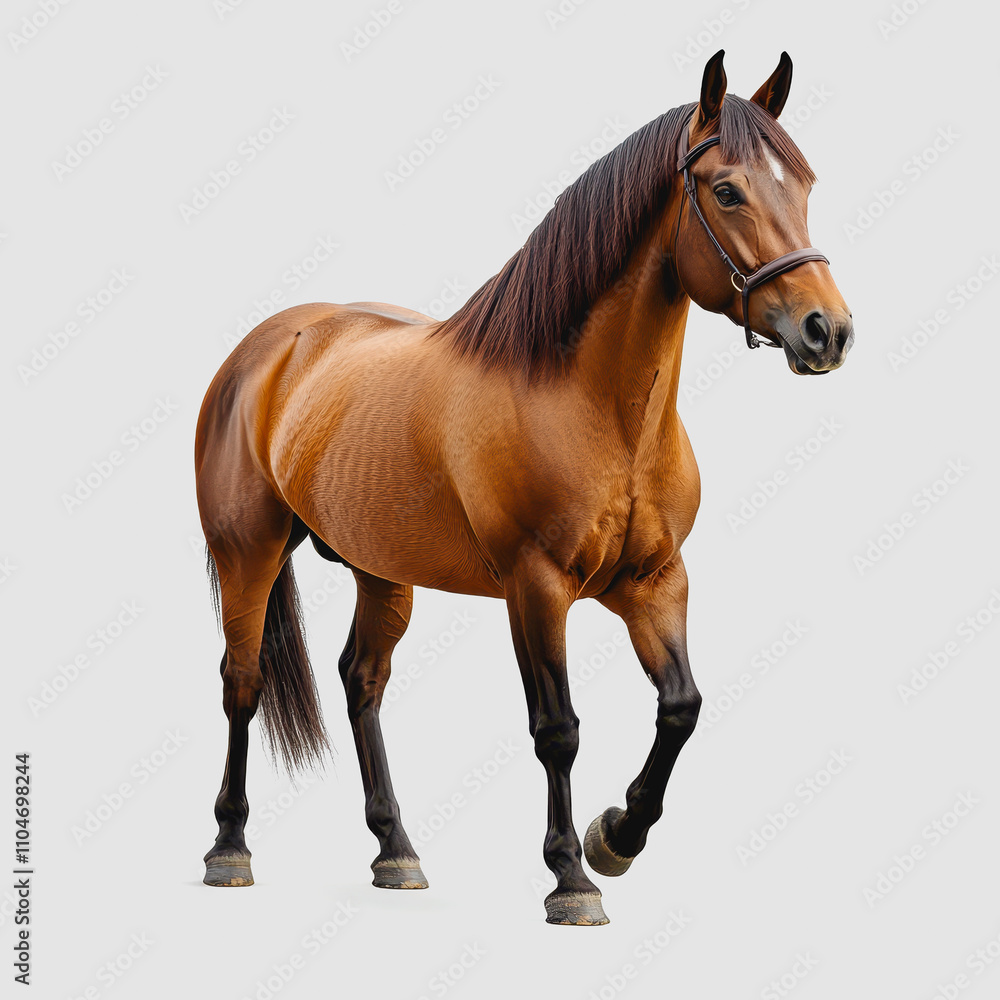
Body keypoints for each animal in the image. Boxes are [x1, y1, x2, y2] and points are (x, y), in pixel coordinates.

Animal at [195, 49, 853, 926]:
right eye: (727, 191)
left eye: (804, 185)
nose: (828, 332)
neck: (590, 404)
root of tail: (270, 345)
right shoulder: (535, 587)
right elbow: (558, 729)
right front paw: (571, 877)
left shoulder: (655, 582)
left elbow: (681, 707)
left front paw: (617, 837)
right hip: (250, 551)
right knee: (243, 684)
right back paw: (229, 849)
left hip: (381, 570)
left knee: (361, 681)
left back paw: (396, 852)